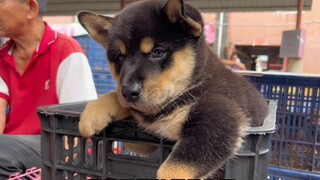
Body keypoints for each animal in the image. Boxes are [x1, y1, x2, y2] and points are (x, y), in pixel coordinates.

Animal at [76, 0, 268, 178]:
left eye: (158, 52)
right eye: (119, 57)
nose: (129, 92)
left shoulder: (219, 121)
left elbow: (172, 169)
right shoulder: (145, 142)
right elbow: (117, 98)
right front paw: (94, 112)